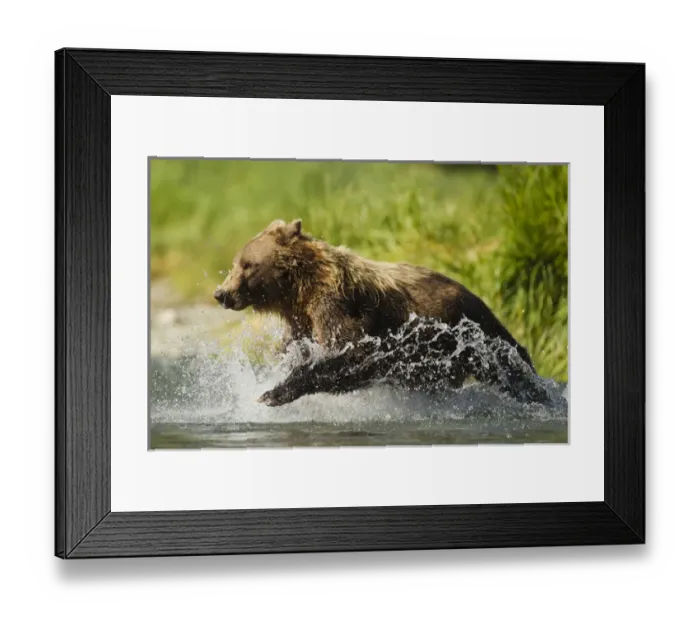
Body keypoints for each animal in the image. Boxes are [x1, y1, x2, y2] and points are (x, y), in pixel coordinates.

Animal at [213, 218, 546, 406]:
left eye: (246, 264)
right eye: (235, 263)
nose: (221, 293)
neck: (298, 290)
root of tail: (475, 294)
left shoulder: (336, 304)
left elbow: (354, 352)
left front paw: (273, 393)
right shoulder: (300, 322)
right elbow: (293, 349)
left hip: (471, 331)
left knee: (509, 363)